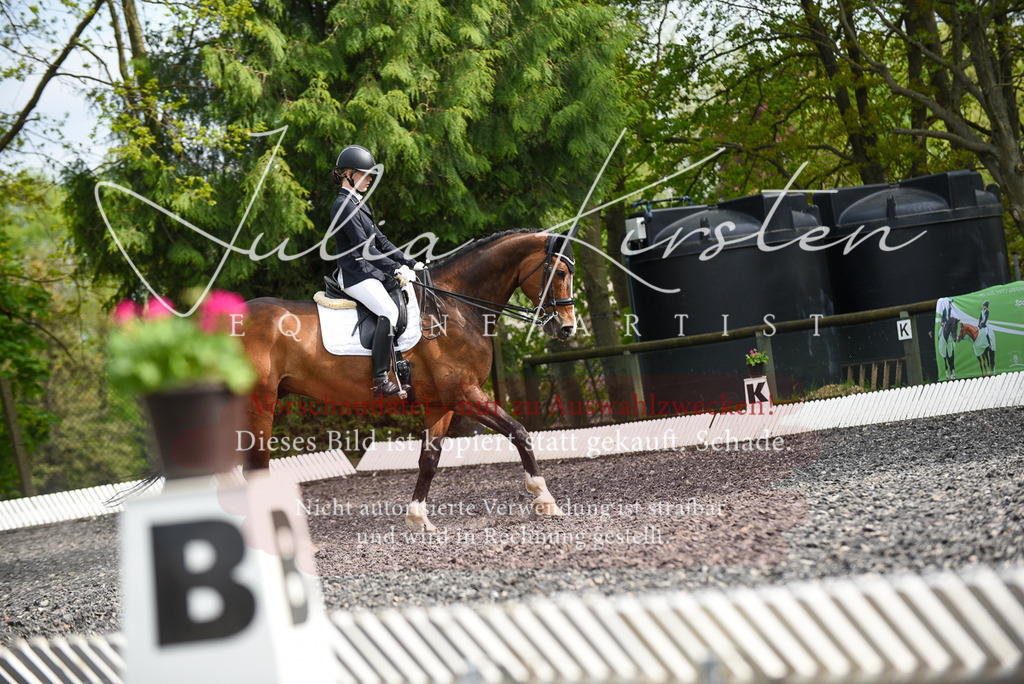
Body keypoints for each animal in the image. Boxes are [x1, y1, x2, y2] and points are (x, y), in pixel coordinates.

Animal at [240, 230, 577, 532]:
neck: (455, 308)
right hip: (260, 404)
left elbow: (429, 459)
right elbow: (519, 432)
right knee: (253, 469)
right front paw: (546, 499)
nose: (567, 328)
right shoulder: (465, 394)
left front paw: (418, 518)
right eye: (560, 272)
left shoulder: (441, 404)